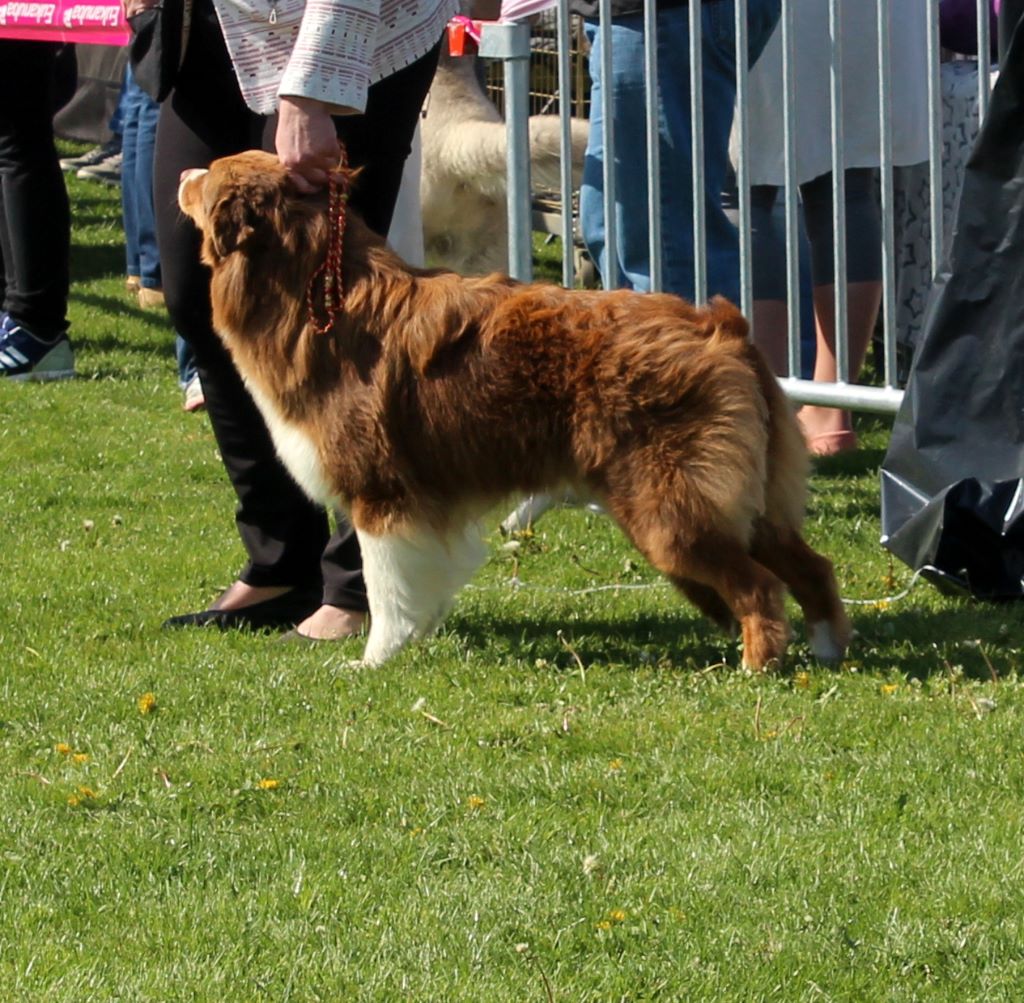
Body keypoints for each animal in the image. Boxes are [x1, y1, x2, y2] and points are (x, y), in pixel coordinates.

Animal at [180, 150, 851, 667]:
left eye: (208, 177)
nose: (183, 171)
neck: (315, 288)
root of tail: (722, 329)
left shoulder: (382, 493)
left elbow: (386, 587)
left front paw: (374, 659)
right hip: (748, 495)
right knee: (812, 566)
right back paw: (826, 651)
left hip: (671, 506)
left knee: (759, 585)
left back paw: (758, 666)